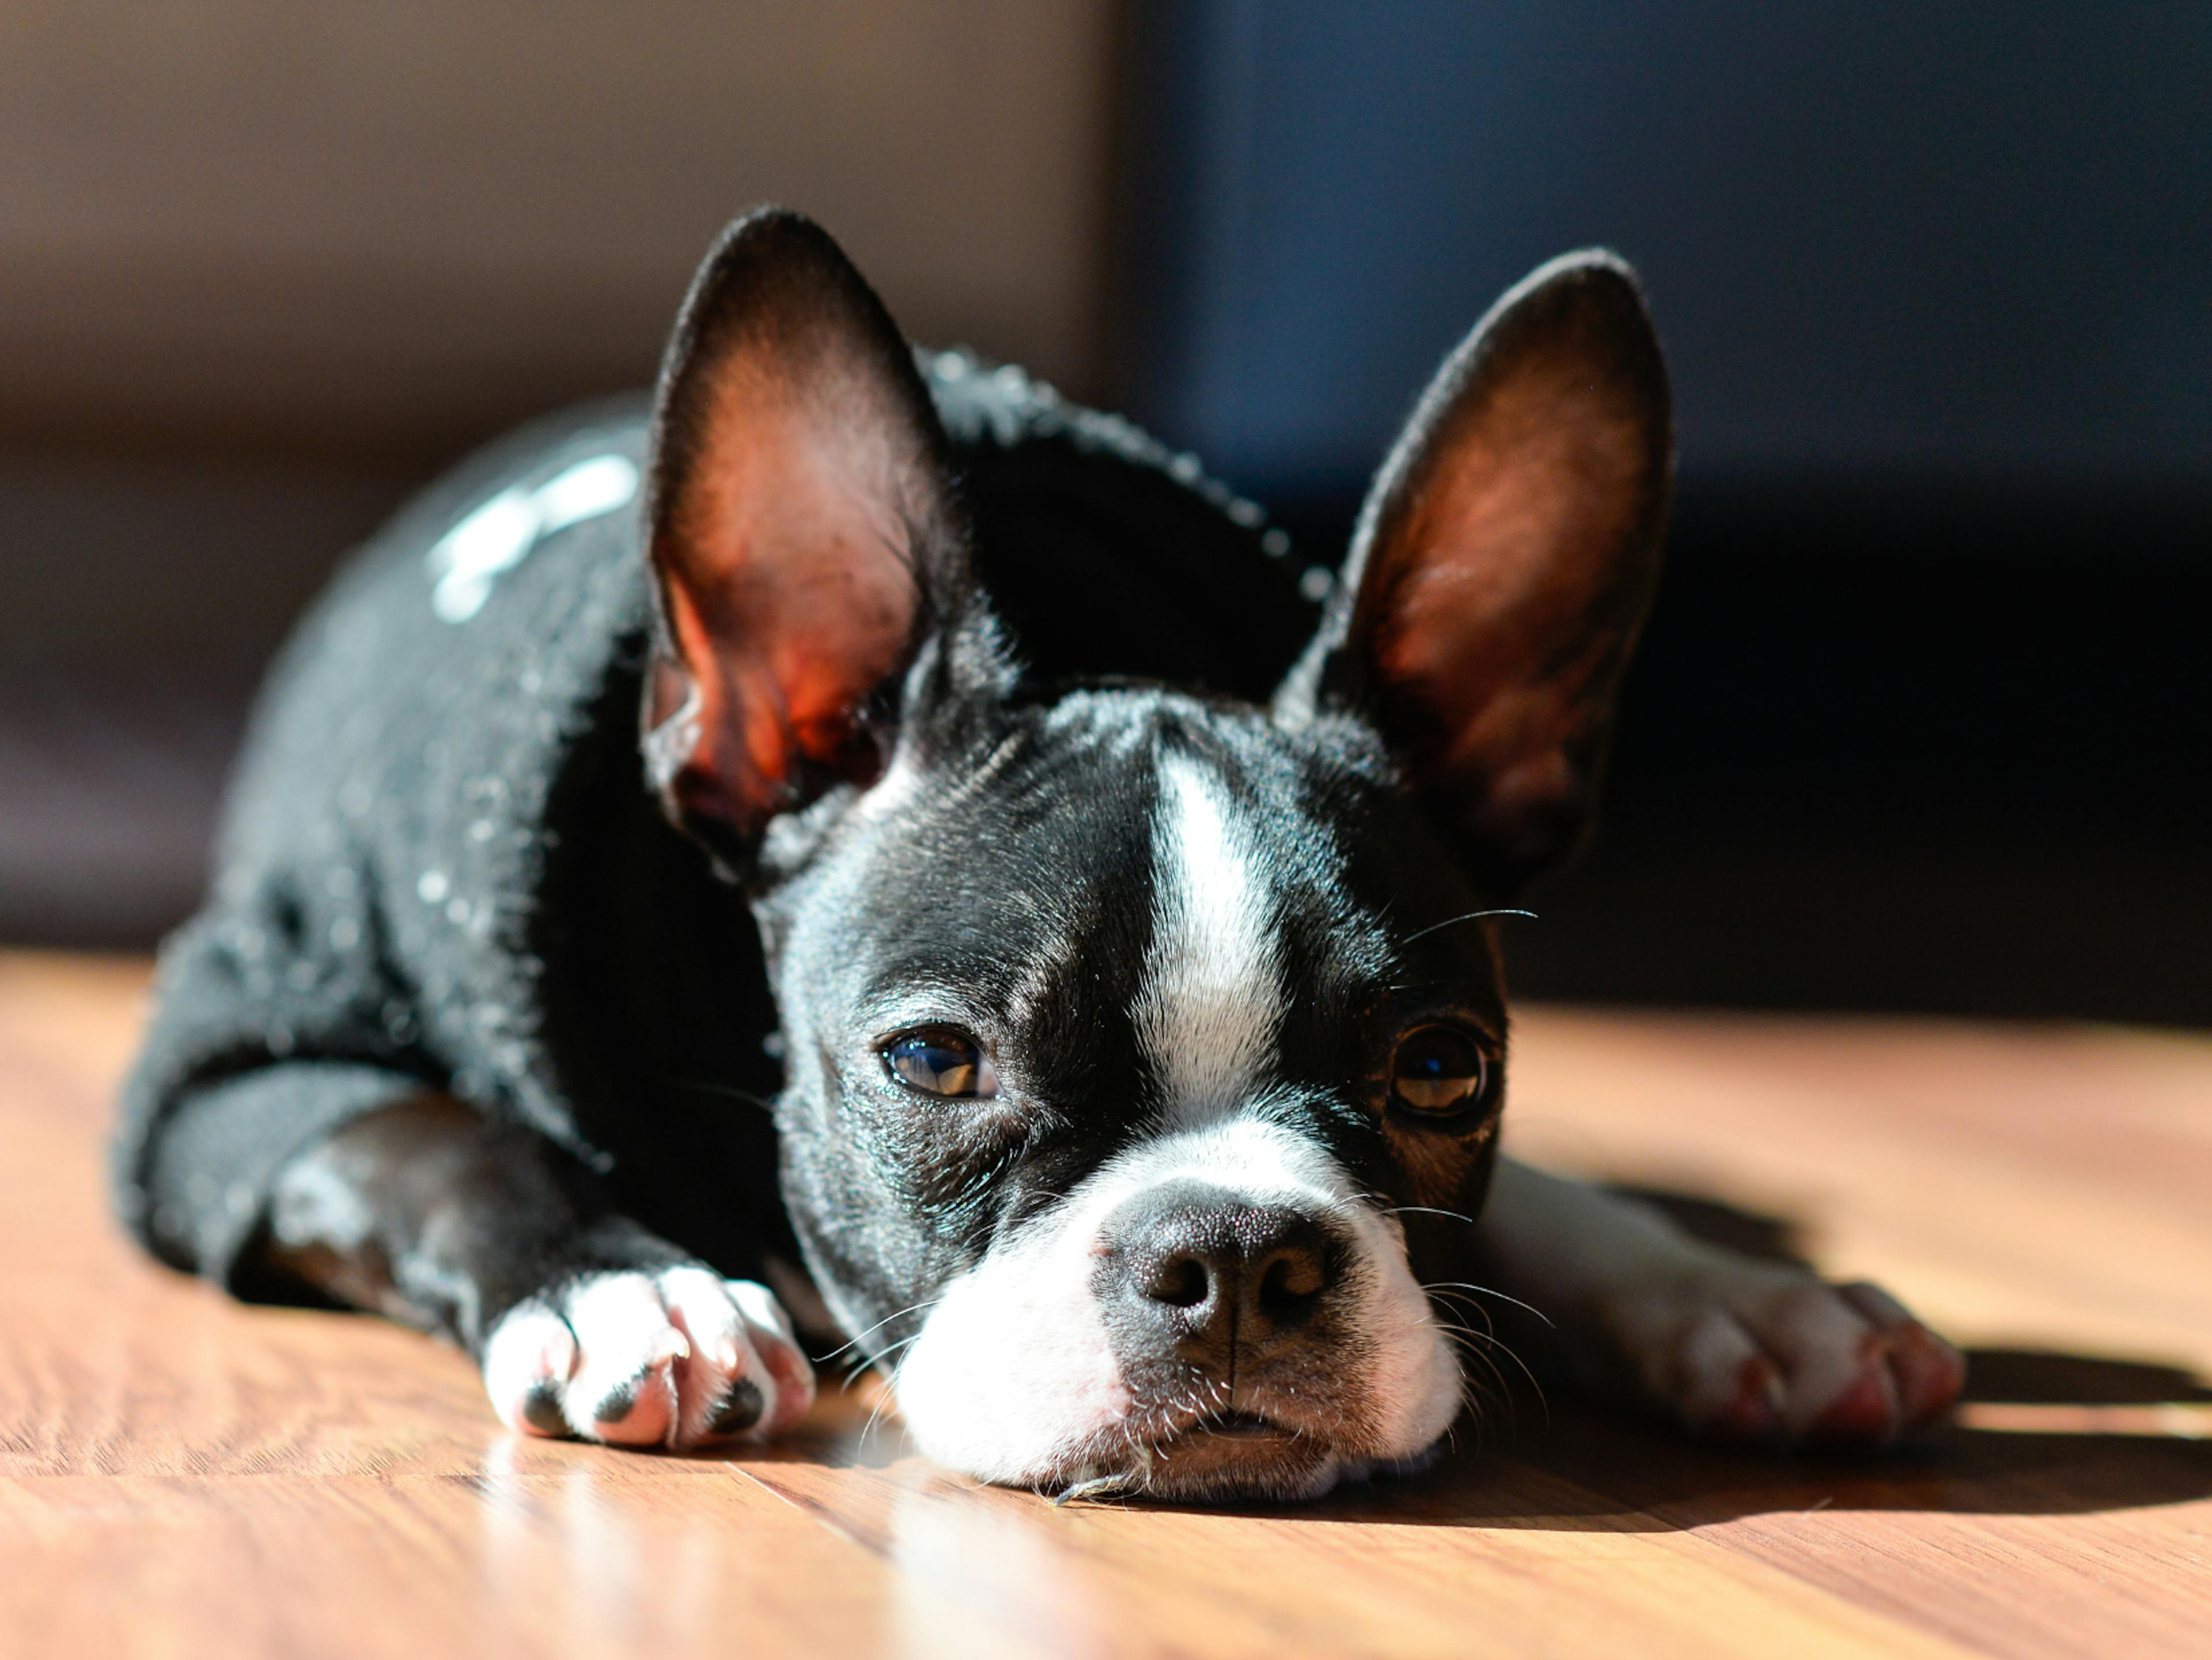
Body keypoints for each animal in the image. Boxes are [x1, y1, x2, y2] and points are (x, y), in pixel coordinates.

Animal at [125, 211, 1955, 1505]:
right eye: (933, 1061)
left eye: (1444, 1073)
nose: (1237, 1254)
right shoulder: (241, 1062)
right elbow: (441, 1138)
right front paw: (628, 1288)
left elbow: (1558, 1202)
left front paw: (1737, 1300)